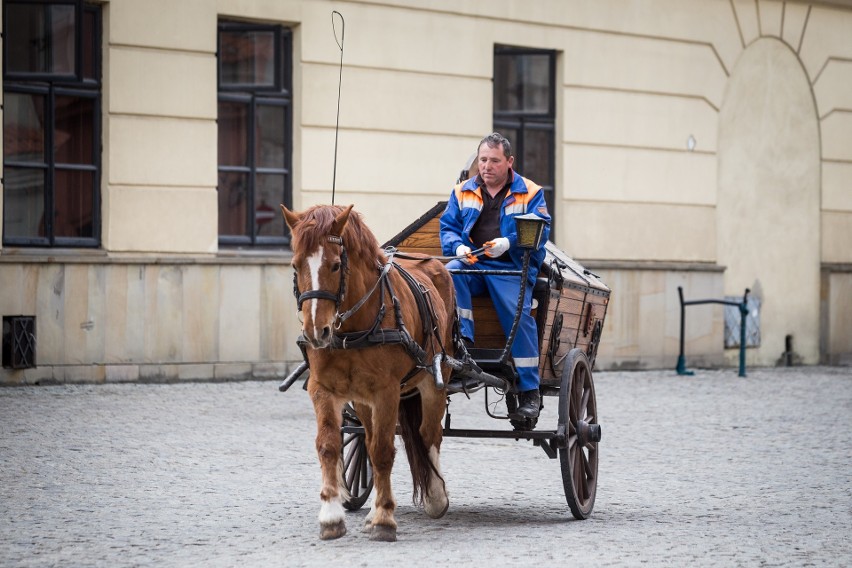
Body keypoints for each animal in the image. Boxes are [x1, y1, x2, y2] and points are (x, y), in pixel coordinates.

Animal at [282, 203, 460, 540]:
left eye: (336, 265)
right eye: (295, 265)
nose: (316, 332)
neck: (353, 328)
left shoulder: (387, 392)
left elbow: (382, 451)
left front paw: (384, 518)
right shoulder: (322, 389)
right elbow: (330, 446)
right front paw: (331, 515)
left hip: (435, 379)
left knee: (429, 433)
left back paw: (436, 496)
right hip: (362, 399)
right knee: (367, 437)